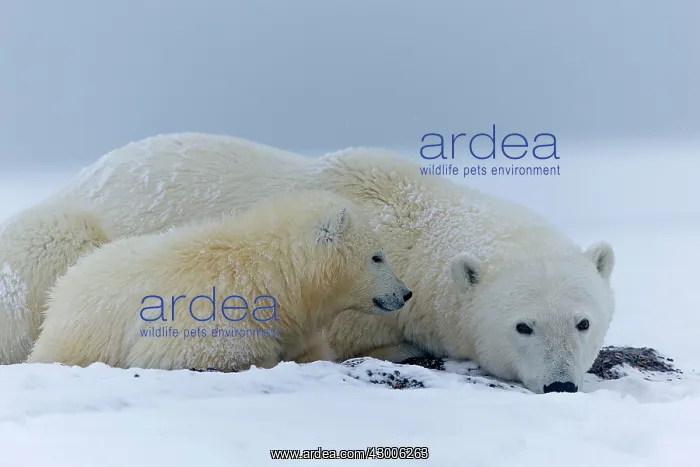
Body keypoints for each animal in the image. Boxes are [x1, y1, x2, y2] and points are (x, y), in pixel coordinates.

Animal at [27, 190, 412, 371]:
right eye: (377, 256)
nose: (405, 293)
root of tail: (59, 292)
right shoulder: (210, 318)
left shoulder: (292, 324)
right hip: (85, 335)